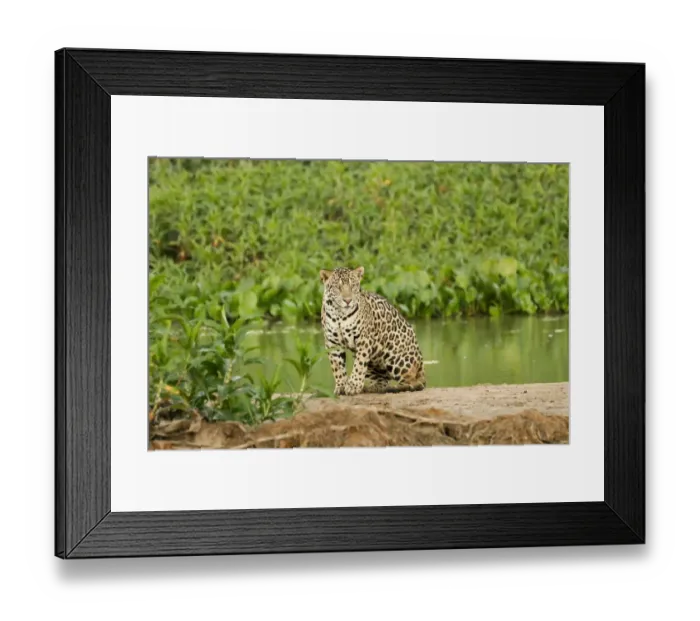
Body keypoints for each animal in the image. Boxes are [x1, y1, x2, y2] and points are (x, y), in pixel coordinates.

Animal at [319, 266, 426, 396]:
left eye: (353, 286)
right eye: (337, 287)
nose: (348, 300)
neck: (340, 315)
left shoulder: (363, 339)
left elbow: (359, 365)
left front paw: (353, 385)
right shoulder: (332, 343)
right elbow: (337, 367)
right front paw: (341, 386)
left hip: (396, 357)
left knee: (415, 382)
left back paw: (399, 387)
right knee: (383, 380)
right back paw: (372, 388)